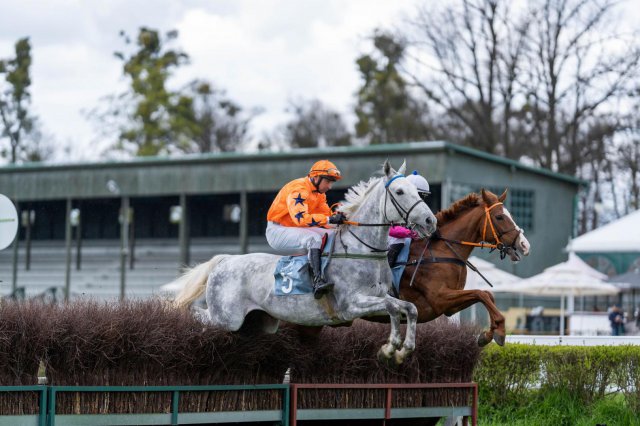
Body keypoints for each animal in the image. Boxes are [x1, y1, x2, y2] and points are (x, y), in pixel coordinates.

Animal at [172, 161, 438, 364]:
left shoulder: (379, 297)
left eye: (416, 192)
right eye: (400, 192)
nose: (430, 221)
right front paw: (390, 348)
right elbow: (393, 307)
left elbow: (408, 308)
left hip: (257, 323)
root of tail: (225, 260)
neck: (361, 250)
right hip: (226, 317)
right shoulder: (351, 304)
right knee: (197, 314)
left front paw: (402, 350)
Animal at [400, 189, 528, 346]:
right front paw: (500, 329)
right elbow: (481, 293)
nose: (524, 245)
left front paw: (488, 334)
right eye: (499, 217)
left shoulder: (450, 307)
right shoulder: (439, 297)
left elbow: (487, 294)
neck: (442, 251)